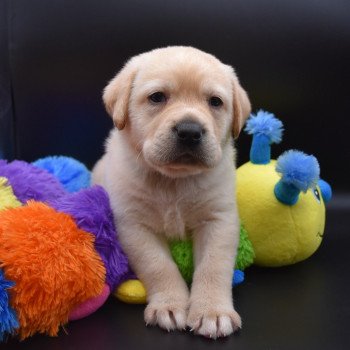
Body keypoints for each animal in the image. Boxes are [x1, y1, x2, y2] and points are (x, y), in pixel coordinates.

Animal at [93, 46, 250, 340]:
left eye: (215, 102)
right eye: (157, 97)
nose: (190, 131)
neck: (173, 181)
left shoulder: (219, 219)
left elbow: (214, 266)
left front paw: (212, 312)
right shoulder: (133, 225)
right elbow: (159, 266)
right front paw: (169, 305)